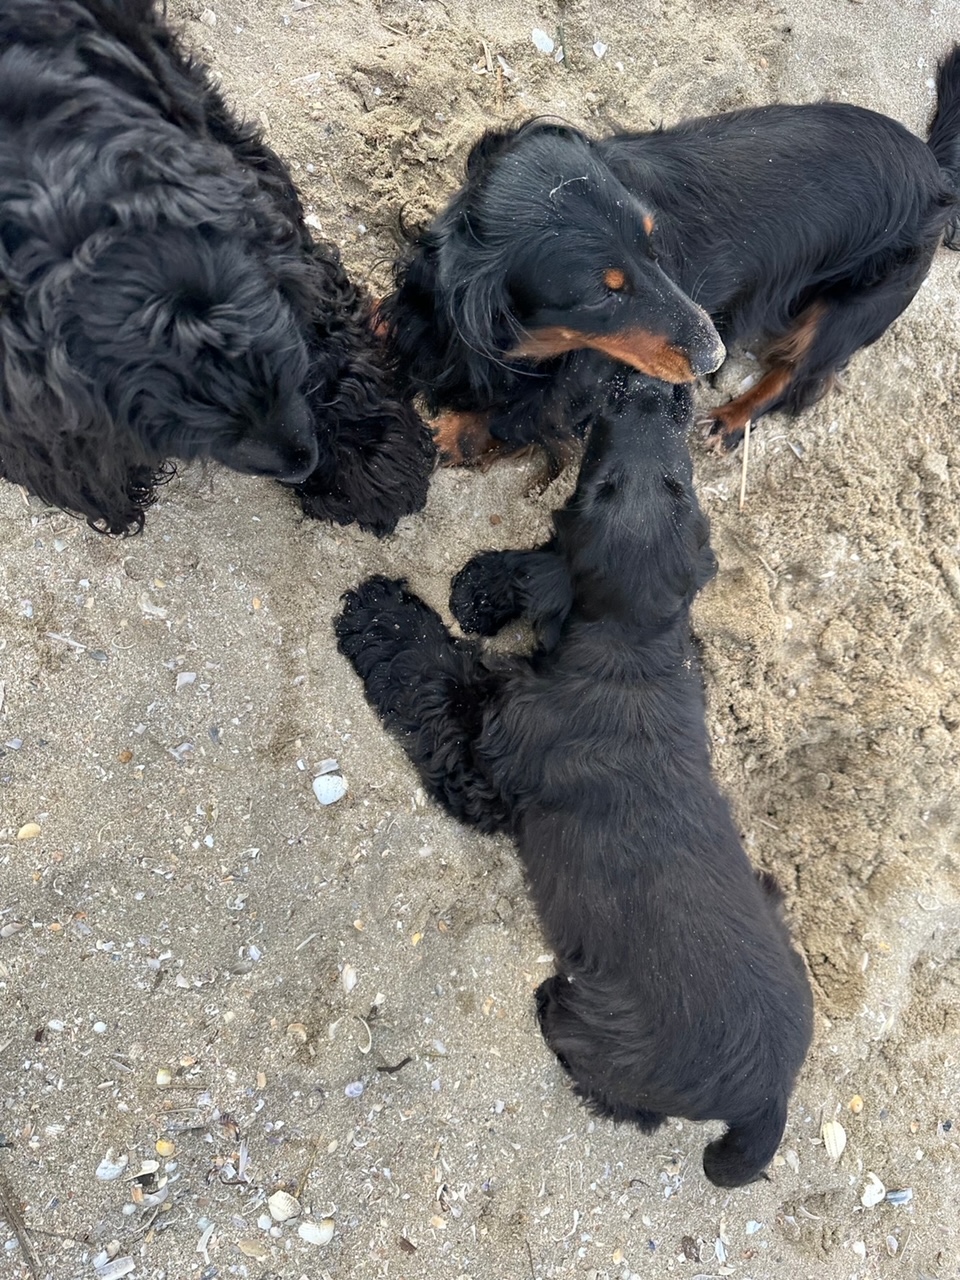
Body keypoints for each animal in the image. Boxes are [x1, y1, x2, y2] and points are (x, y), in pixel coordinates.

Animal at [335, 373, 814, 1187]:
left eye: (600, 481)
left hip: (615, 1041)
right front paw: (478, 588)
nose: (659, 391)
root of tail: (772, 1096)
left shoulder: (483, 755)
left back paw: (553, 1014)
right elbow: (533, 566)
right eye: (676, 483)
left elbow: (437, 673)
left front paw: (383, 612)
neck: (629, 650)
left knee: (625, 1098)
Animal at [381, 47, 960, 463]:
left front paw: (452, 434)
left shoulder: (577, 387)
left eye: (652, 245)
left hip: (853, 310)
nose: (714, 357)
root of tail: (932, 168)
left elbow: (519, 416)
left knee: (796, 375)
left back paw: (730, 419)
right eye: (602, 295)